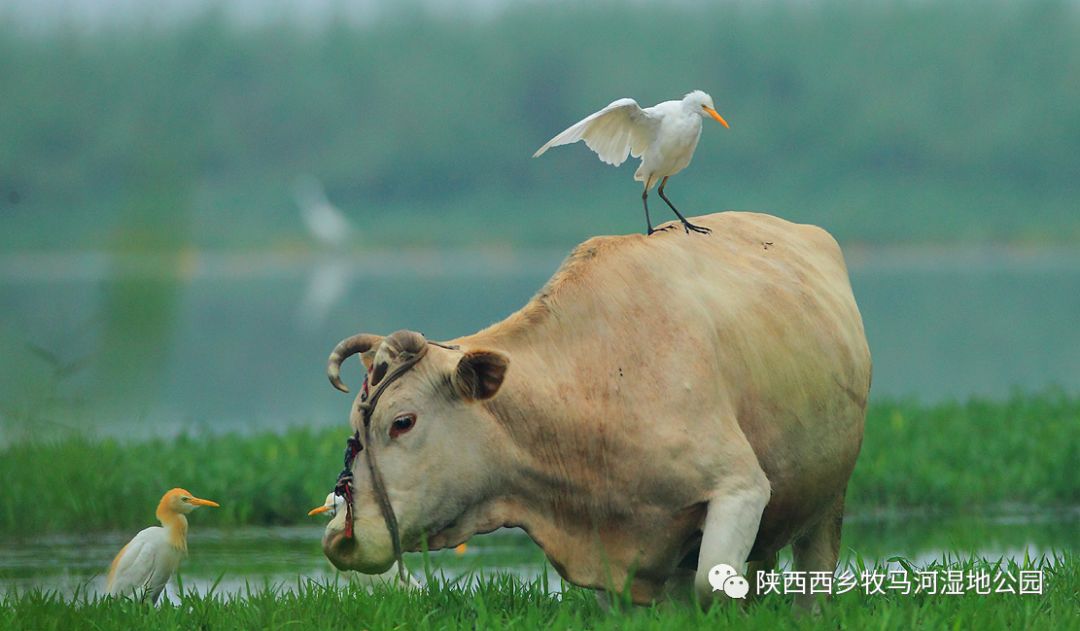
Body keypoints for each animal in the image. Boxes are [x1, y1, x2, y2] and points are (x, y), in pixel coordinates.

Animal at [317, 211, 868, 605]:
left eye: (402, 422)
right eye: (355, 428)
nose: (339, 537)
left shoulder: (741, 488)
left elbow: (709, 586)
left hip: (830, 497)